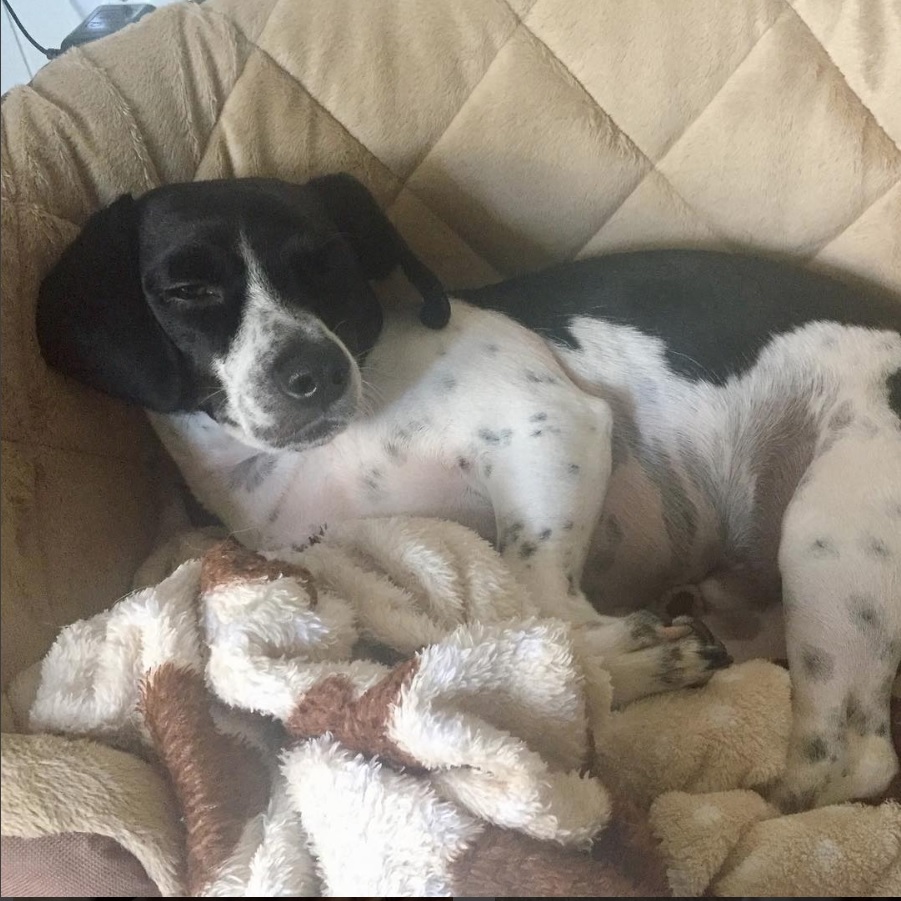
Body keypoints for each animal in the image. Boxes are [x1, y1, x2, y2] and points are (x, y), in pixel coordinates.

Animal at [38, 172, 900, 804]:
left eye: (329, 263)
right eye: (187, 290)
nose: (312, 372)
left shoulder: (550, 425)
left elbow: (532, 603)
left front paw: (618, 657)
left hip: (828, 538)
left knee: (847, 763)